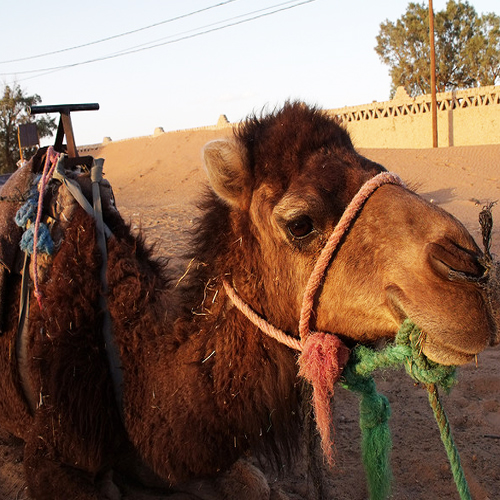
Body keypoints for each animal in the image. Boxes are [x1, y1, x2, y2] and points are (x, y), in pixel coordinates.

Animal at [0, 101, 496, 500]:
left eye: (378, 171)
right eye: (300, 223)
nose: (470, 272)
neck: (128, 357)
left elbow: (253, 486)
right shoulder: (51, 449)